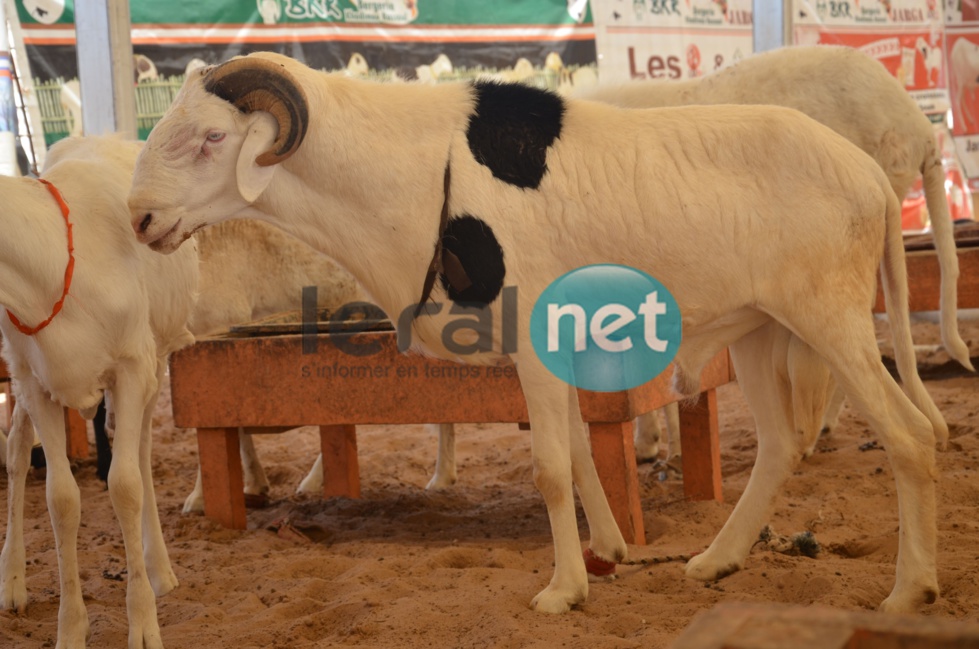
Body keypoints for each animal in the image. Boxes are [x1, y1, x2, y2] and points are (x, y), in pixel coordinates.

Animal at [0, 134, 199, 644]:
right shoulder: (37, 384)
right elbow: (61, 500)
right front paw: (70, 629)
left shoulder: (133, 368)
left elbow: (126, 486)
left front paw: (144, 626)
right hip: (23, 378)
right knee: (17, 451)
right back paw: (13, 580)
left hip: (154, 363)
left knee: (141, 457)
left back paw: (159, 569)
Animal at [126, 52, 944, 612]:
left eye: (210, 138)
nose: (138, 216)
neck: (410, 167)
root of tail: (869, 173)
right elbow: (578, 450)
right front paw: (607, 551)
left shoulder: (535, 336)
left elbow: (551, 464)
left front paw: (563, 590)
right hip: (761, 328)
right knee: (779, 444)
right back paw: (717, 560)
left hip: (831, 317)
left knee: (908, 436)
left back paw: (910, 591)